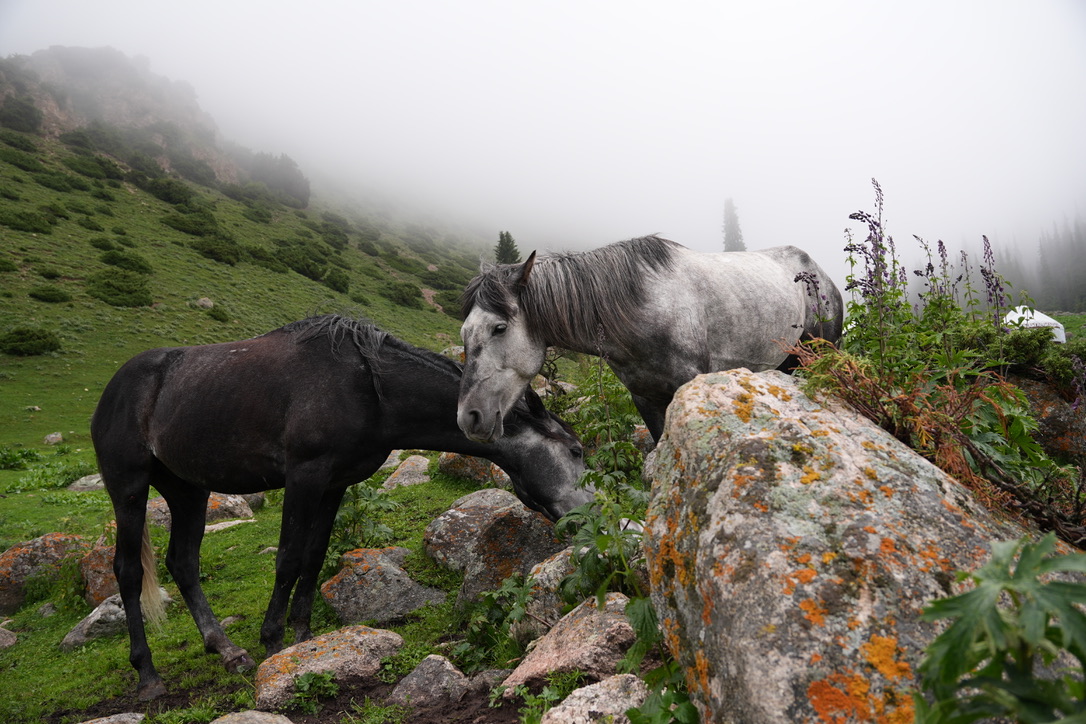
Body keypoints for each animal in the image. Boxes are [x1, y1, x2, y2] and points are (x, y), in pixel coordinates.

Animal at [90, 314, 590, 699]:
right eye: (577, 450)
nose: (589, 517)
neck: (368, 389)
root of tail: (114, 388)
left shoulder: (334, 485)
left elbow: (313, 558)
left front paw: (303, 639)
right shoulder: (304, 478)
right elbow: (289, 559)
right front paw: (273, 642)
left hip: (188, 490)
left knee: (184, 563)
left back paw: (226, 649)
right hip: (129, 488)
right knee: (128, 572)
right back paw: (148, 676)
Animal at [453, 235, 842, 445]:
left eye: (499, 328)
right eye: (464, 332)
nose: (468, 419)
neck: (645, 307)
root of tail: (818, 273)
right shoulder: (644, 397)